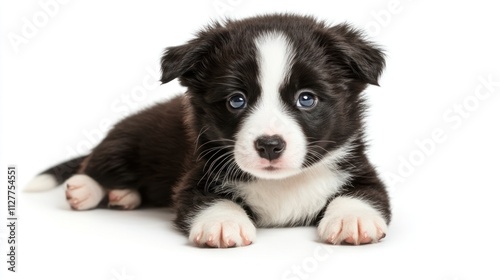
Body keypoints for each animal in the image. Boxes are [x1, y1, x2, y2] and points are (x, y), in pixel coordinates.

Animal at [27, 14, 390, 248]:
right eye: (236, 100)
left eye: (307, 98)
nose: (269, 145)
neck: (282, 183)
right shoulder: (195, 177)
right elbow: (210, 200)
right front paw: (223, 222)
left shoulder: (361, 169)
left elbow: (365, 193)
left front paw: (353, 218)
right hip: (125, 142)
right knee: (95, 162)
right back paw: (86, 189)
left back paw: (124, 195)